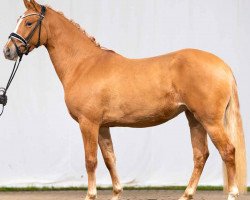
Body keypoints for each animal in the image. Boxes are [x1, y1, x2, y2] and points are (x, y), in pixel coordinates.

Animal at [2, 0, 247, 200]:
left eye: (29, 22)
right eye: (18, 20)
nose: (8, 51)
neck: (83, 64)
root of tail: (223, 66)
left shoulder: (88, 123)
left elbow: (90, 160)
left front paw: (90, 195)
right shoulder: (102, 126)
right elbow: (110, 159)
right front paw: (117, 193)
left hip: (210, 121)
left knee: (227, 151)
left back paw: (232, 194)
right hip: (194, 118)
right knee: (200, 155)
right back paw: (186, 194)